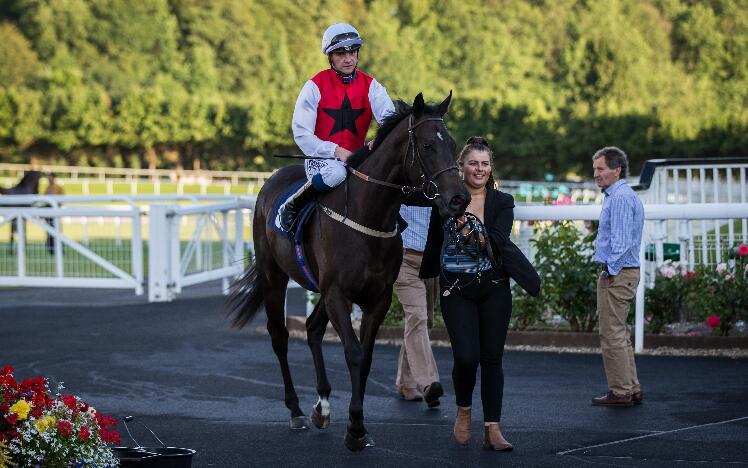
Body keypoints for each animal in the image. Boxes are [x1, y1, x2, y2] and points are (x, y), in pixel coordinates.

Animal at [226, 92, 468, 450]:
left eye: (451, 144)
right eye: (426, 145)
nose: (458, 198)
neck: (366, 217)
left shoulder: (376, 298)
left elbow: (364, 358)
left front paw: (357, 423)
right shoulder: (338, 294)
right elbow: (353, 353)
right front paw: (354, 428)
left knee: (312, 328)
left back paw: (322, 404)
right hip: (274, 277)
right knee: (280, 336)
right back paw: (296, 409)